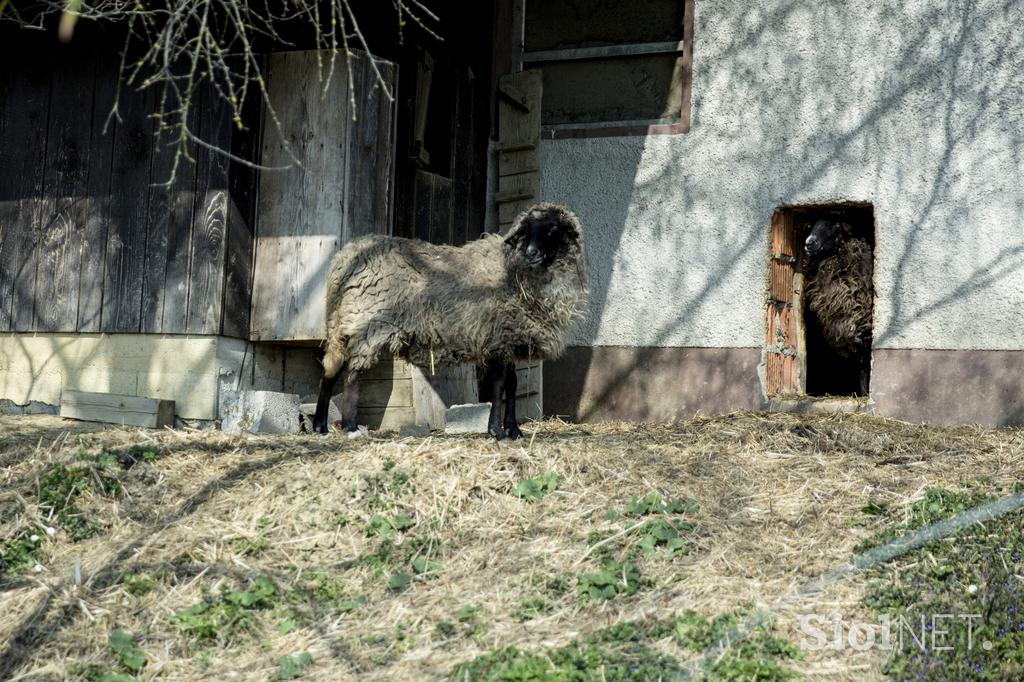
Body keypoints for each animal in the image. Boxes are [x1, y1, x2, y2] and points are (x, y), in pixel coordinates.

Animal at [307, 200, 589, 440]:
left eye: (554, 228)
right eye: (527, 230)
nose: (531, 252)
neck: (516, 270)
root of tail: (345, 257)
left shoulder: (508, 338)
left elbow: (512, 385)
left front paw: (514, 431)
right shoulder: (499, 336)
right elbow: (500, 385)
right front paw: (497, 431)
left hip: (343, 323)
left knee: (330, 370)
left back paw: (320, 426)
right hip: (367, 324)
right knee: (351, 374)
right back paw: (350, 427)